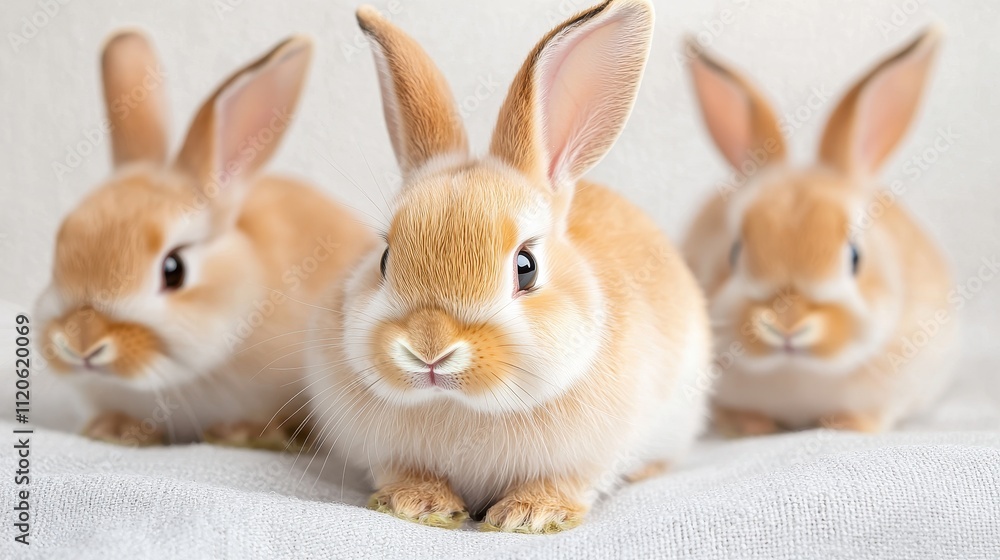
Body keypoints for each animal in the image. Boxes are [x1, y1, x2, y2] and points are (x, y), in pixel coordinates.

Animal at [303, 0, 711, 533]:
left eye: (526, 267)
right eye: (386, 258)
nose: (429, 348)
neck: (460, 406)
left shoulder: (586, 458)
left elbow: (565, 482)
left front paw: (530, 515)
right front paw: (417, 504)